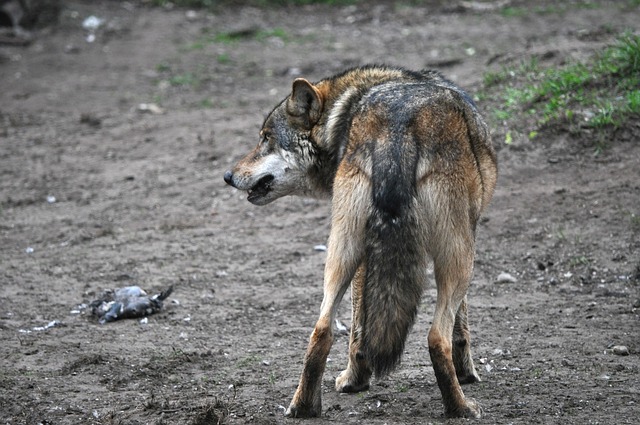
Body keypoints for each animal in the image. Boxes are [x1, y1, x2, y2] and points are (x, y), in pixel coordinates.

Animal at [223, 65, 497, 419]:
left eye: (266, 138)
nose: (227, 176)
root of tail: (398, 129)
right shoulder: (468, 234)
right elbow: (460, 325)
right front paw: (468, 374)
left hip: (342, 252)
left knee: (322, 329)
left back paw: (305, 406)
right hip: (460, 260)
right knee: (437, 337)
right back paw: (460, 408)